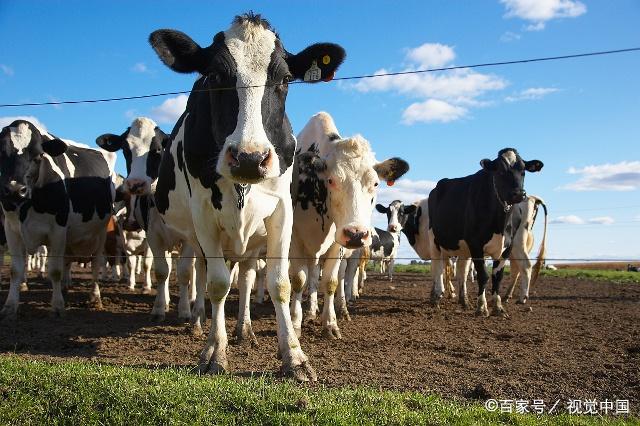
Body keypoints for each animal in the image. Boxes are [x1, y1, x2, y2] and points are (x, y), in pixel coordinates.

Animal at [0, 120, 115, 320]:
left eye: (38, 156)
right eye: (1, 152)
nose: (14, 190)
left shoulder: (58, 229)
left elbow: (54, 271)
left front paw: (57, 307)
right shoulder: (11, 229)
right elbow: (16, 270)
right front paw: (10, 306)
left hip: (100, 233)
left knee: (95, 264)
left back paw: (95, 297)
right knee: (67, 262)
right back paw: (65, 289)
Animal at [96, 116, 196, 322]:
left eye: (157, 150)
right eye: (126, 150)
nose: (136, 184)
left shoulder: (188, 238)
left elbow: (184, 271)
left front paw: (184, 311)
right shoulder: (153, 236)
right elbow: (161, 271)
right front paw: (159, 308)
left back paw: (192, 299)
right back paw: (166, 300)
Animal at [288, 110, 408, 340]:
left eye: (375, 183)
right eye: (331, 180)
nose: (356, 234)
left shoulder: (337, 243)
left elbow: (331, 282)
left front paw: (330, 323)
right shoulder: (293, 238)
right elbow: (299, 280)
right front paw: (295, 323)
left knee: (338, 276)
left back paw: (338, 309)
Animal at [428, 147, 544, 316]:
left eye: (523, 170)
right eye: (501, 171)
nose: (518, 194)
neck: (499, 224)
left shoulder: (506, 248)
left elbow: (497, 276)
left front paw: (498, 306)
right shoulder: (476, 245)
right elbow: (483, 275)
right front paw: (482, 307)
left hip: (463, 248)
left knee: (462, 271)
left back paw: (464, 301)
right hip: (435, 240)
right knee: (438, 268)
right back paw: (436, 298)